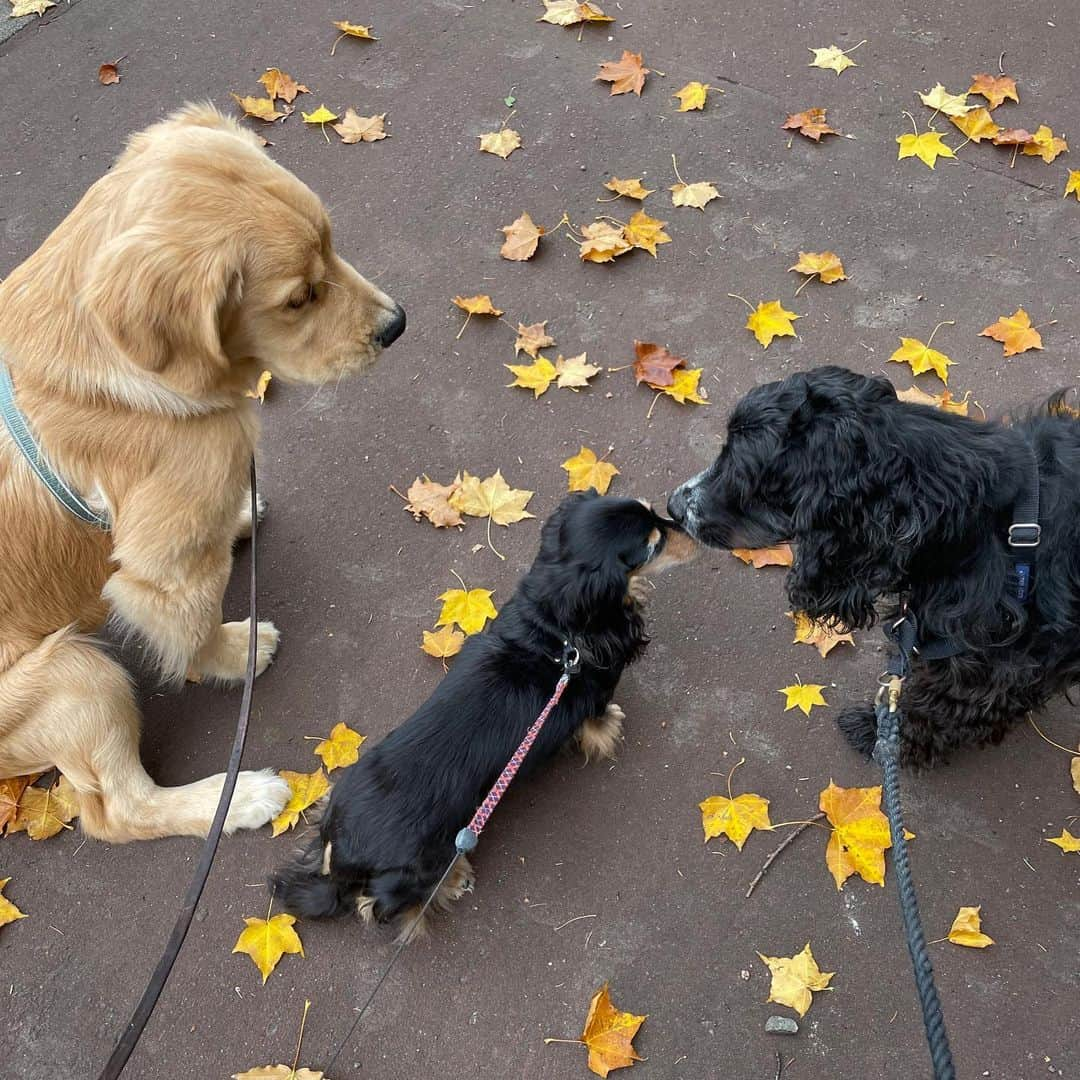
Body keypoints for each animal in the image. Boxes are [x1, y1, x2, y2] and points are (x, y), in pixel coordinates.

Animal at [0, 101, 406, 842]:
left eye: (333, 246)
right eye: (299, 298)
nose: (397, 325)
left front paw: (239, 515)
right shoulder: (165, 569)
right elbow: (193, 629)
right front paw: (231, 652)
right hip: (78, 673)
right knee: (117, 813)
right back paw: (240, 796)